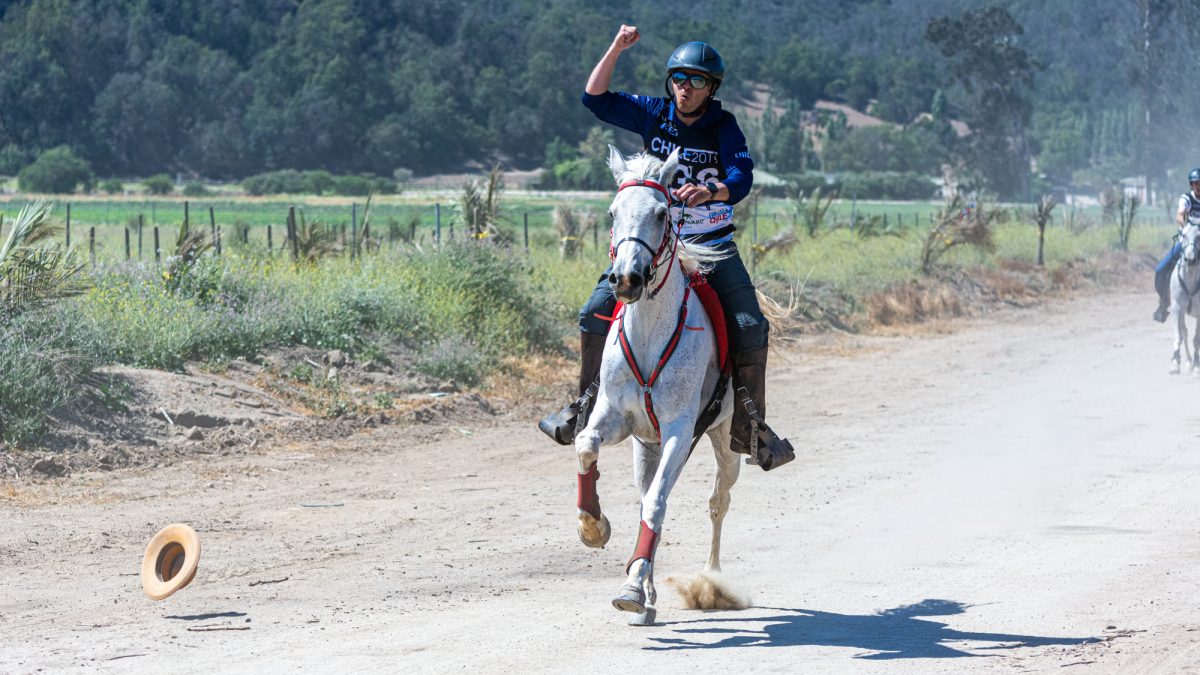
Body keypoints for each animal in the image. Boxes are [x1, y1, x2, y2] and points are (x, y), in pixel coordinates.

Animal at [571, 144, 739, 624]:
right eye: (612, 211)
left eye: (663, 213)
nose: (626, 278)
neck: (649, 332)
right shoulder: (615, 418)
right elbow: (585, 447)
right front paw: (594, 527)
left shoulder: (681, 429)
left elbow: (658, 503)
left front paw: (632, 586)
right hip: (646, 445)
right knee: (650, 495)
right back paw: (645, 592)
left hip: (724, 438)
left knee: (716, 501)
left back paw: (709, 580)